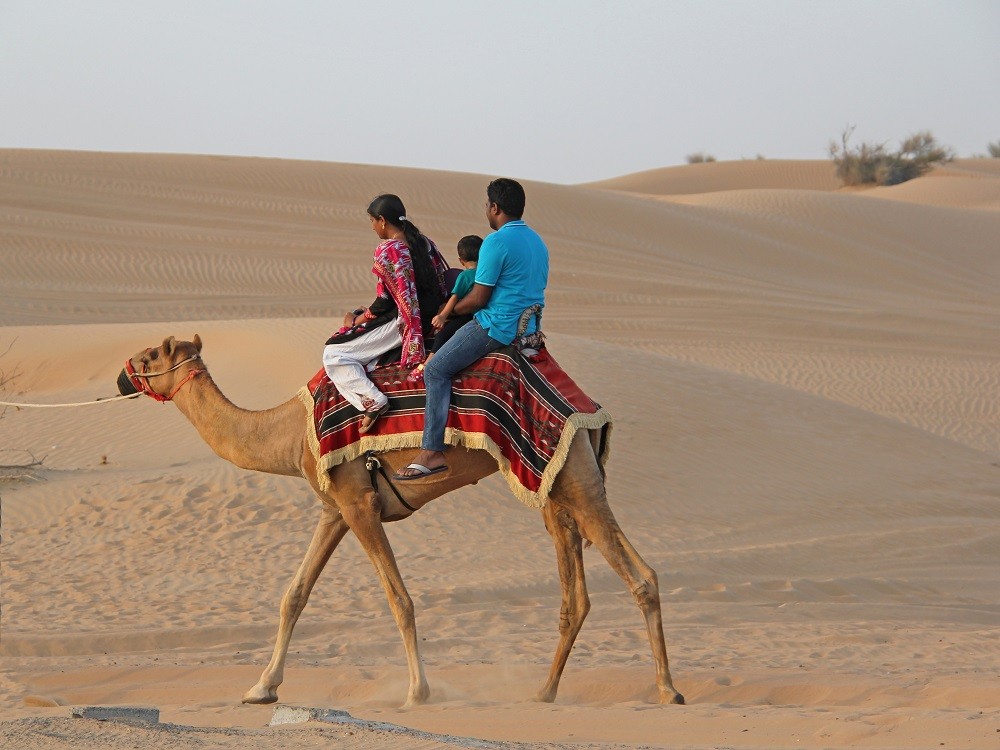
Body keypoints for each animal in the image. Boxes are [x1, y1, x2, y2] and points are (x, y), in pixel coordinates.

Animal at [123, 338, 688, 708]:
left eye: (150, 357)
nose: (122, 374)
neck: (289, 432)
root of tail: (585, 406)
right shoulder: (335, 509)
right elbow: (294, 595)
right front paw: (261, 688)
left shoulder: (359, 504)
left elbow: (399, 598)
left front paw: (419, 691)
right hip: (554, 489)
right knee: (579, 595)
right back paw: (546, 691)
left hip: (572, 477)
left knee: (639, 577)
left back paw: (667, 689)